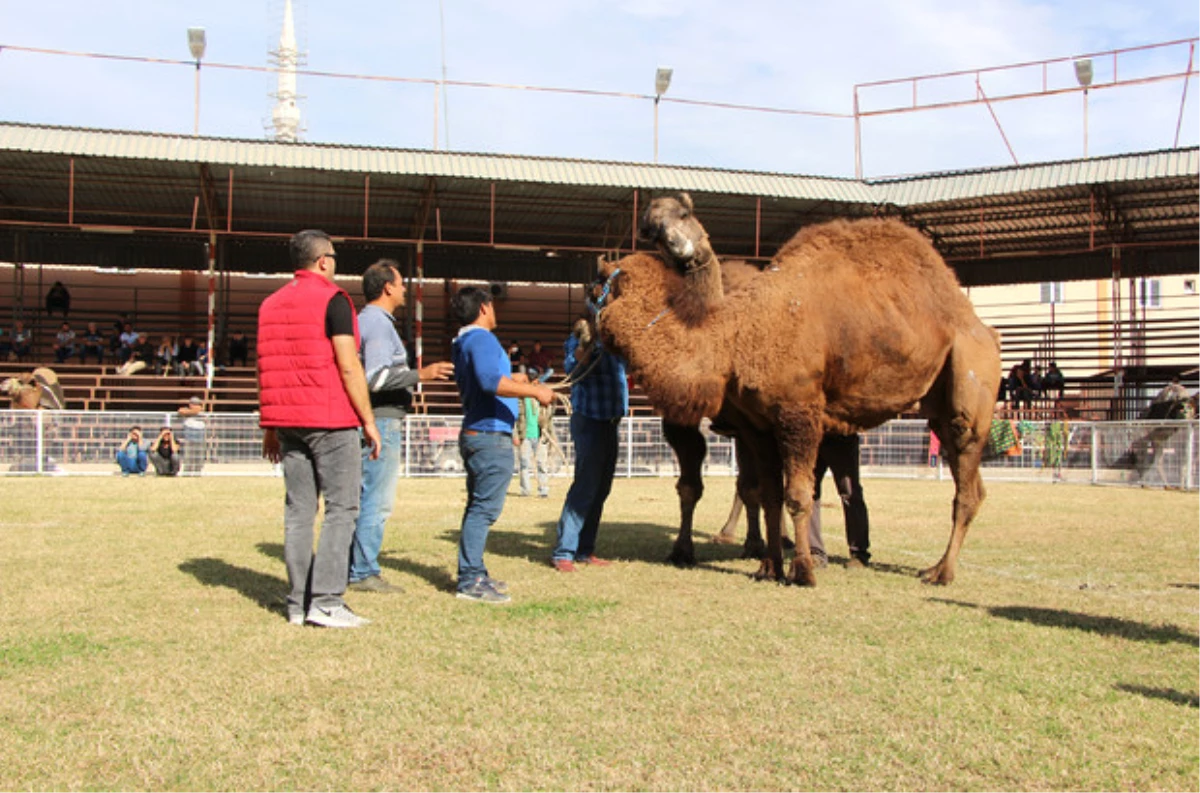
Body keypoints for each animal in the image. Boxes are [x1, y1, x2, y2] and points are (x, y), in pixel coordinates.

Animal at [600, 194, 1003, 585]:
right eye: (650, 230)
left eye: (683, 213)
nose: (676, 244)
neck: (736, 334)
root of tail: (976, 321)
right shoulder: (753, 425)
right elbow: (765, 494)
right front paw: (767, 566)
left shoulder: (798, 411)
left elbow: (796, 494)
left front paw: (802, 571)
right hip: (938, 405)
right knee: (968, 475)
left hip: (971, 372)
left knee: (965, 475)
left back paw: (941, 573)